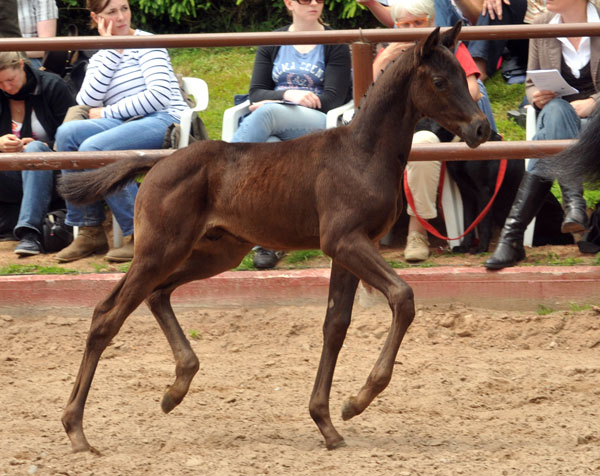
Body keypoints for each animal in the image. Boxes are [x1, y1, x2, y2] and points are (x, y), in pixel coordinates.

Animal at [56, 23, 490, 454]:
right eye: (439, 81)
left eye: (463, 76)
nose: (480, 127)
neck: (363, 153)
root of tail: (157, 162)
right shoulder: (345, 242)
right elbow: (402, 296)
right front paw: (356, 402)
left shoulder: (346, 249)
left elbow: (336, 325)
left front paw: (326, 423)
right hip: (160, 250)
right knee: (107, 316)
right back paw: (76, 430)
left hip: (217, 253)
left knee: (155, 295)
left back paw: (175, 389)